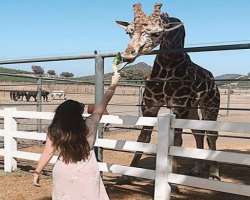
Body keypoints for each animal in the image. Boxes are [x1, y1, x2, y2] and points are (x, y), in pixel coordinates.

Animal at [117, 2, 221, 178]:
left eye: (156, 33)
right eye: (128, 32)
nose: (127, 55)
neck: (167, 65)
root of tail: (213, 79)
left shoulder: (179, 107)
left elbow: (176, 142)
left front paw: (173, 175)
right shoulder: (150, 106)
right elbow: (143, 138)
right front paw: (128, 173)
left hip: (210, 105)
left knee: (211, 135)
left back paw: (214, 174)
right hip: (193, 108)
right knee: (198, 132)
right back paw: (197, 168)